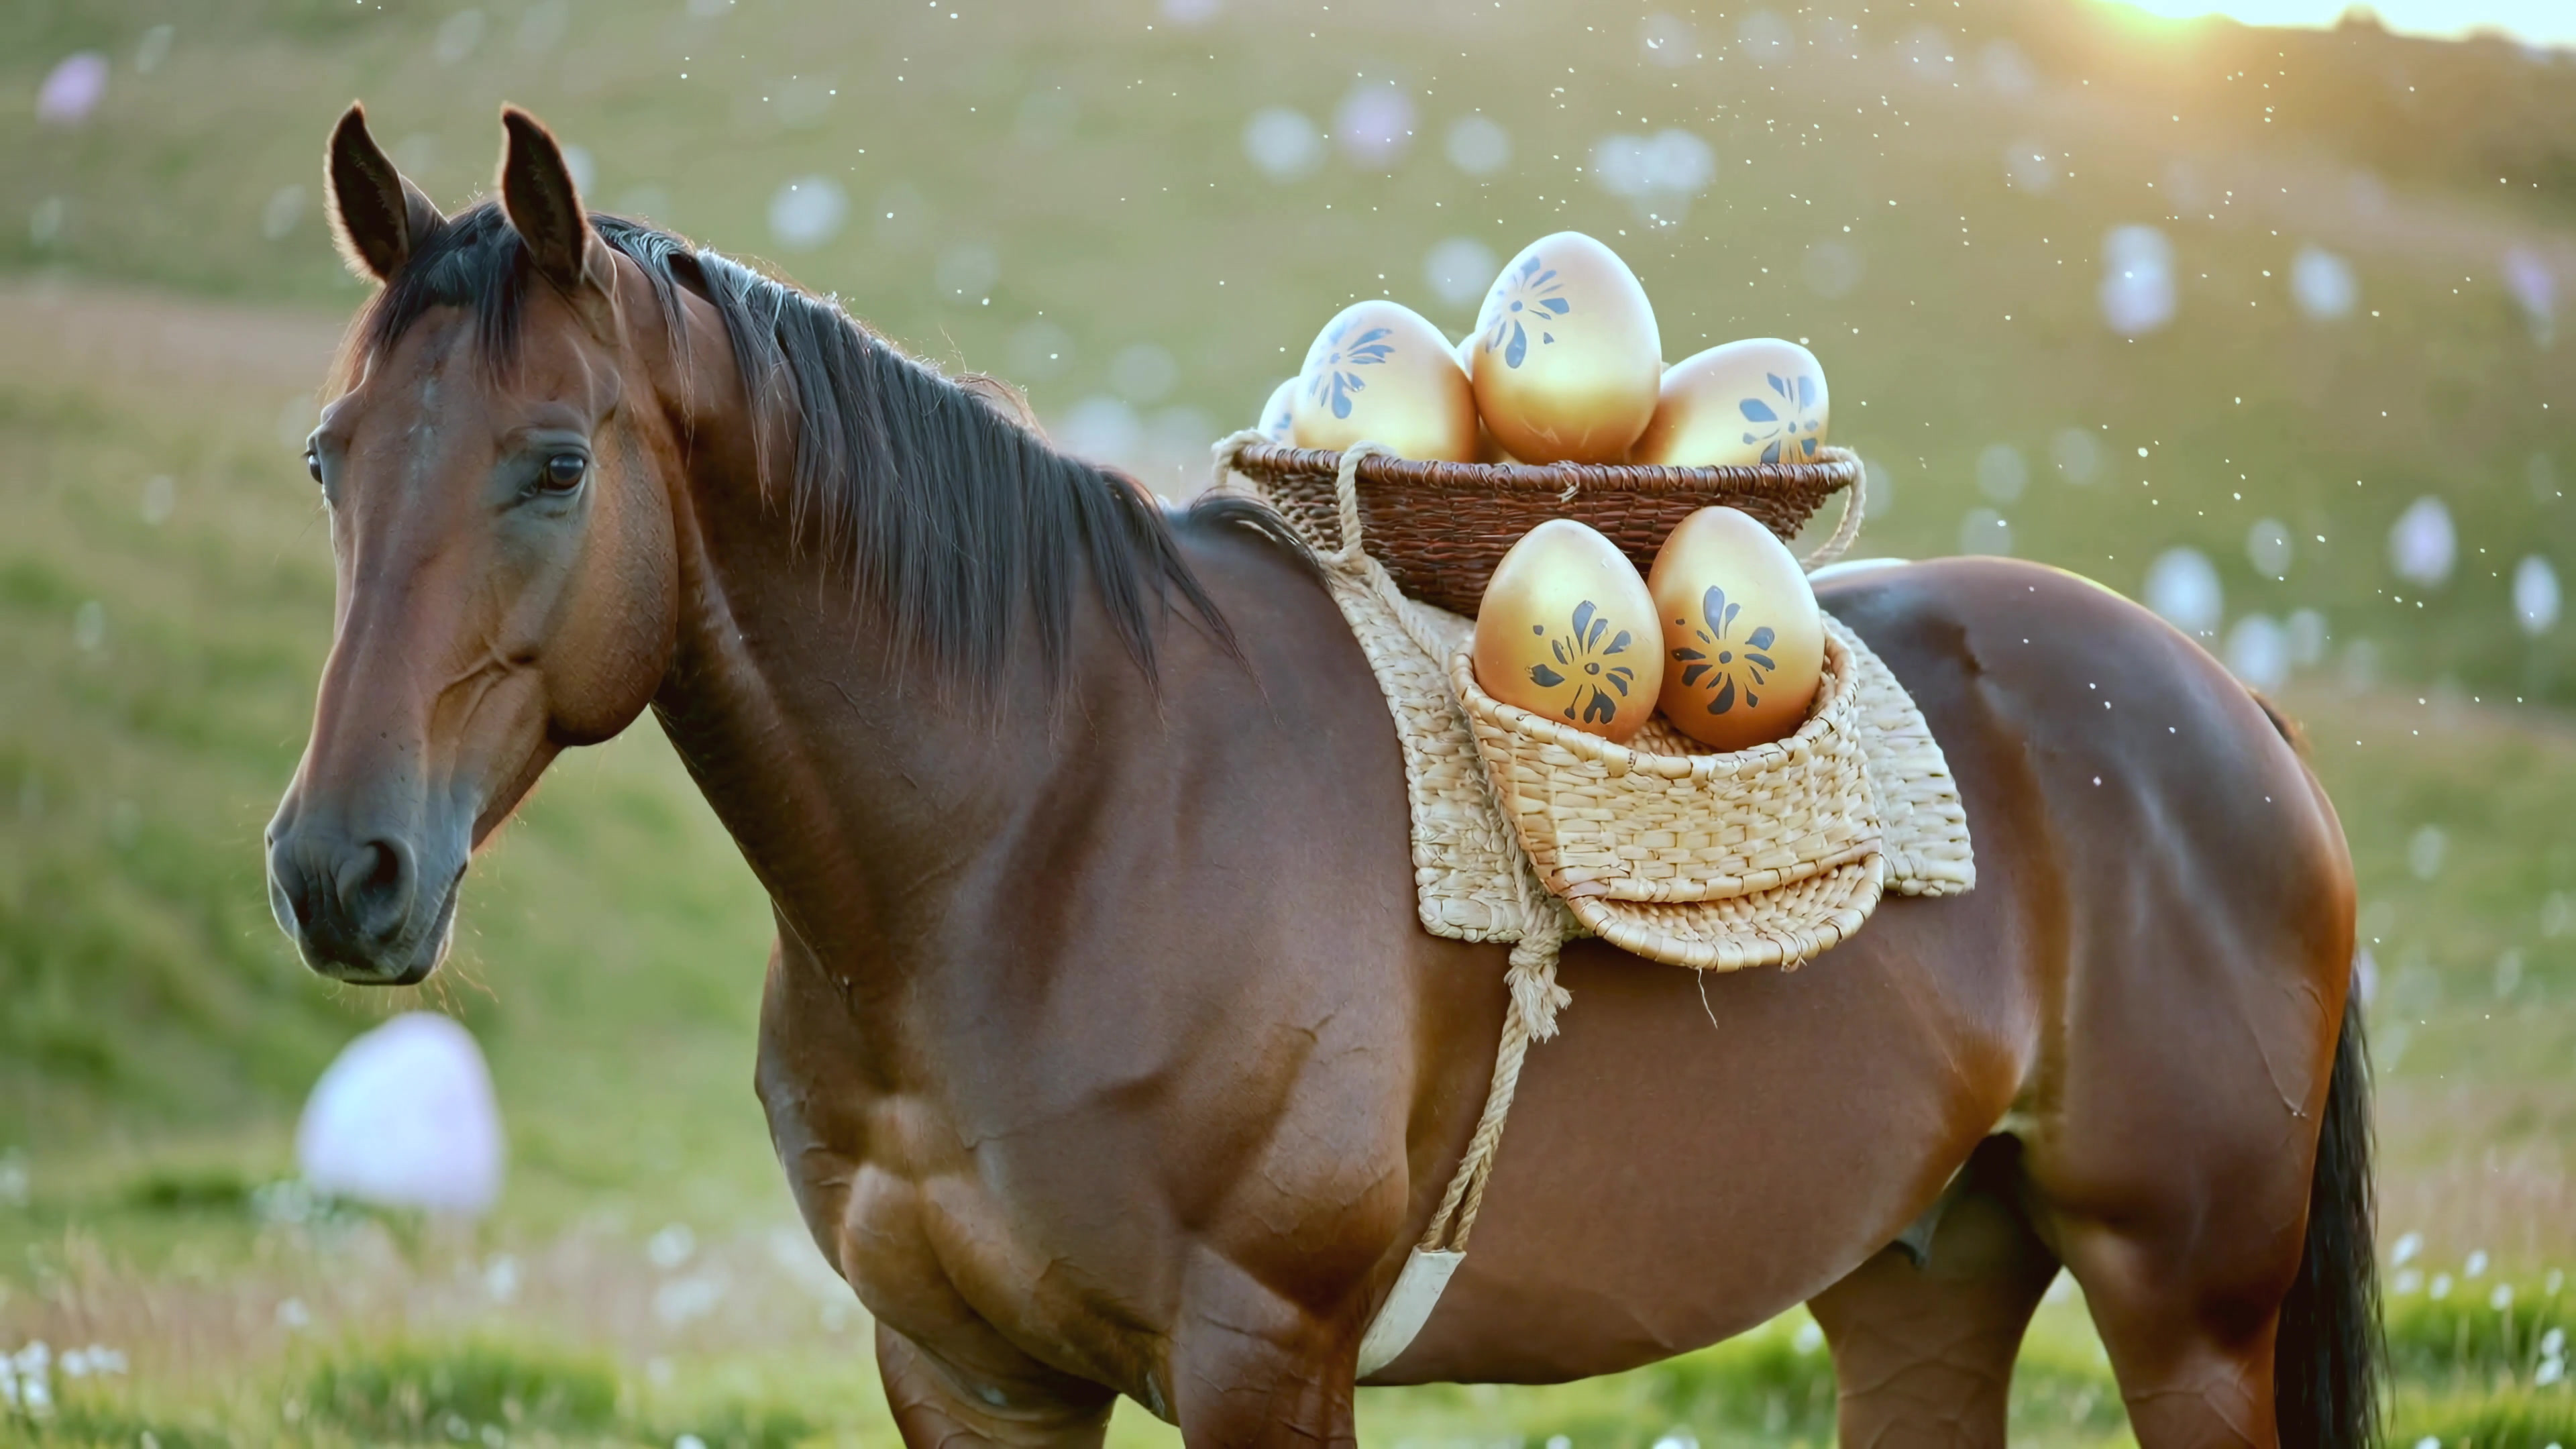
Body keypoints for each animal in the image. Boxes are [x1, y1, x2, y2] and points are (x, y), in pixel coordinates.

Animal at [265, 103, 2378, 1448]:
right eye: (329, 455)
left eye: (555, 462)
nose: (337, 870)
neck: (1044, 834)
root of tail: (2227, 709)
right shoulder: (965, 1377)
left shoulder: (1262, 1360)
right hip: (1923, 1281)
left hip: (2186, 1305)